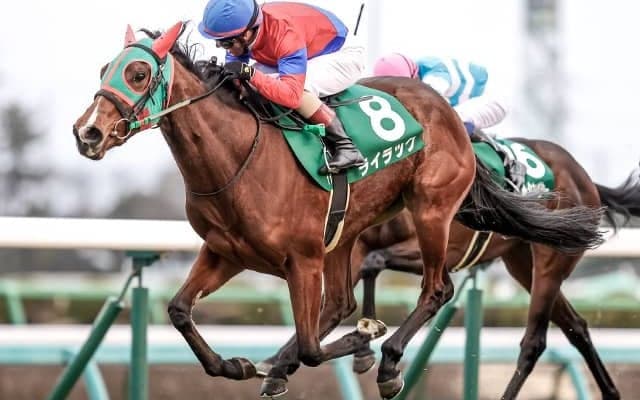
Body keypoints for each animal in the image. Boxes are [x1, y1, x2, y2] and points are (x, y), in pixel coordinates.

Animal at [258, 139, 639, 399]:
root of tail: (583, 176)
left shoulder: (442, 248)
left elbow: (375, 265)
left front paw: (369, 349)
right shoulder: (354, 245)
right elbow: (337, 297)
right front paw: (278, 362)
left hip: (549, 263)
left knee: (534, 342)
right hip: (522, 264)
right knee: (576, 326)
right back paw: (610, 392)